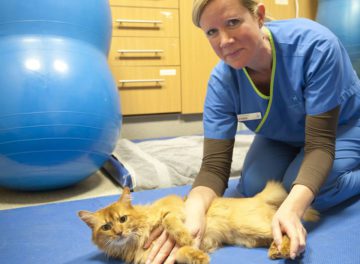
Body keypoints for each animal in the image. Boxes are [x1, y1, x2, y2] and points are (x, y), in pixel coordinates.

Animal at [79, 182, 318, 264]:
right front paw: (198, 256)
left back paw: (285, 247)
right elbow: (182, 253)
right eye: (106, 227)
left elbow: (169, 221)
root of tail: (257, 197)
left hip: (252, 226)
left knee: (290, 231)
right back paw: (275, 250)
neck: (137, 240)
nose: (119, 232)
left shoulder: (173, 206)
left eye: (122, 219)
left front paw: (184, 236)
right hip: (250, 238)